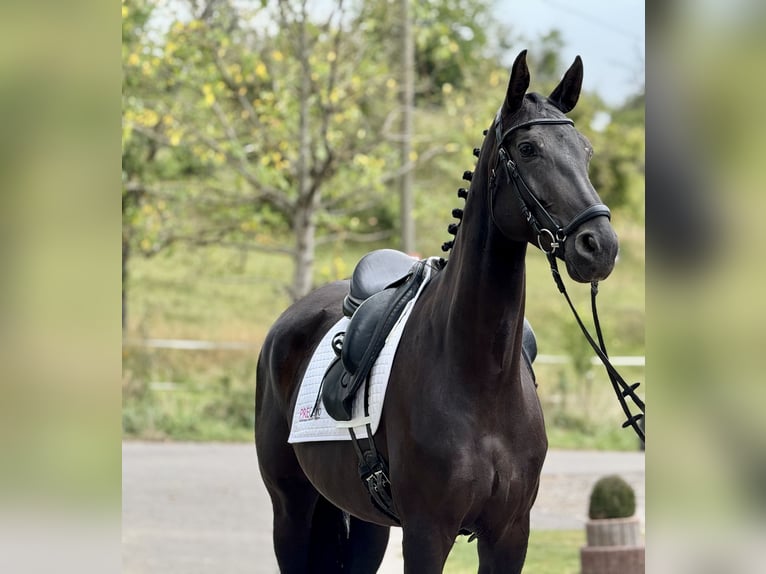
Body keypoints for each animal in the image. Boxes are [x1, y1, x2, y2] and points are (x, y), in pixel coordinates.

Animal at [255, 50, 619, 573]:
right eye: (529, 148)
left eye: (585, 150)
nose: (600, 246)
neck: (481, 379)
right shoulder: (427, 534)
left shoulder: (510, 536)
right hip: (290, 510)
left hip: (367, 523)